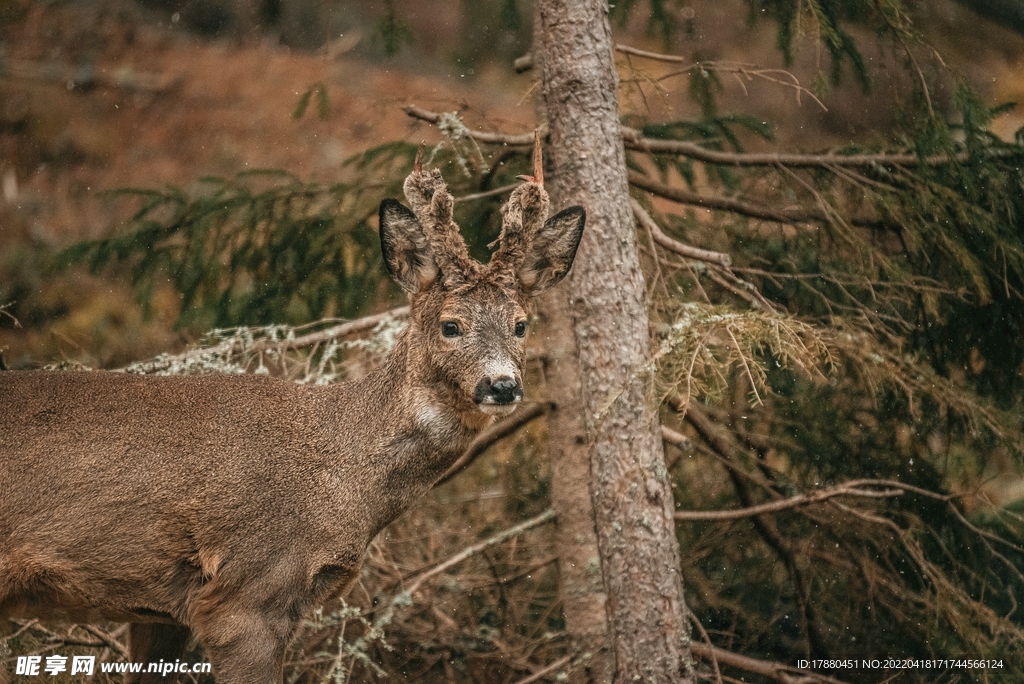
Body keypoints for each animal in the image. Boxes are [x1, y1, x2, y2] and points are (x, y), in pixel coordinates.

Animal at [0, 141, 585, 679]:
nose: (502, 385)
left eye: (521, 324)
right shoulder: (245, 593)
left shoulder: (160, 609)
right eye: (450, 325)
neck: (344, 473)